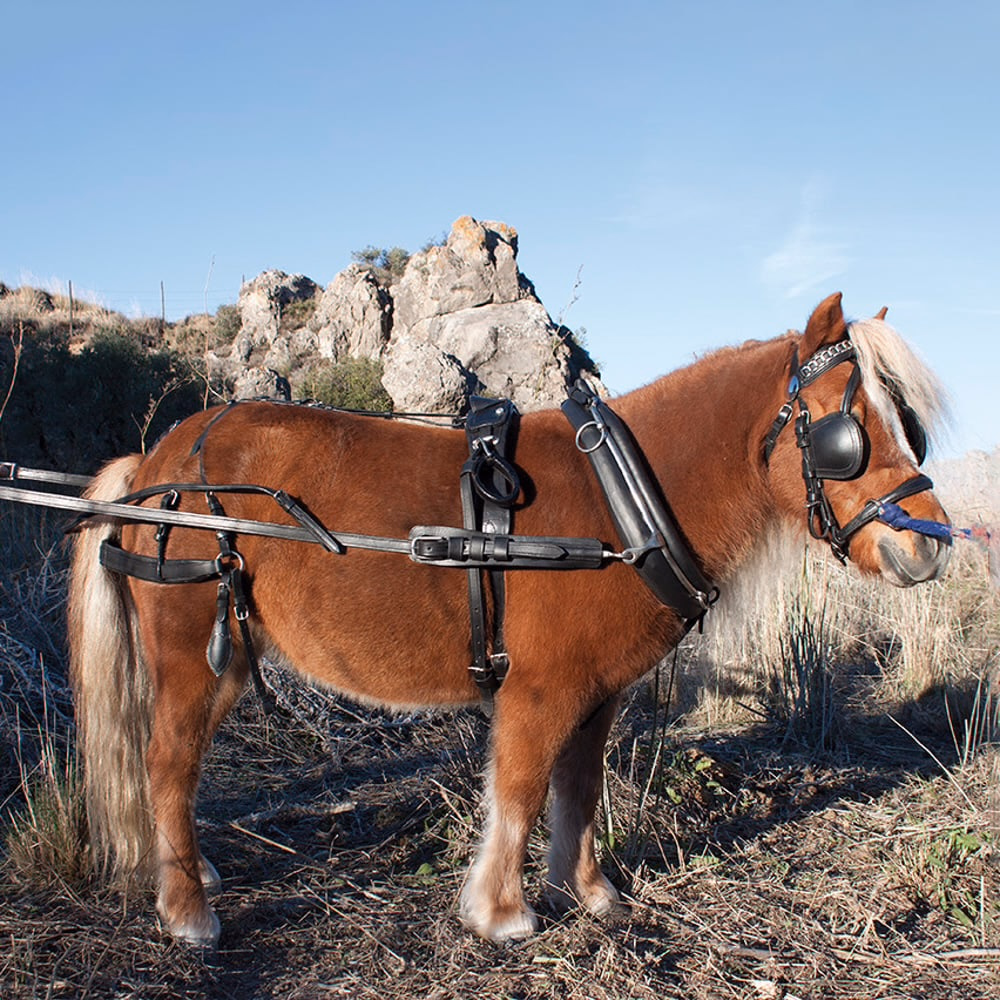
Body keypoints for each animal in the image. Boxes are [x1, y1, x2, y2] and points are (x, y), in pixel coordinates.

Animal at [67, 292, 951, 947]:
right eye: (844, 431)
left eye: (908, 423)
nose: (929, 545)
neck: (620, 501)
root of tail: (155, 466)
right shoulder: (541, 690)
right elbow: (521, 790)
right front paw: (501, 912)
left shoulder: (597, 695)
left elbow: (580, 790)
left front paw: (589, 892)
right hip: (194, 653)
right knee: (166, 762)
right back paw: (187, 908)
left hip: (233, 656)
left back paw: (188, 869)